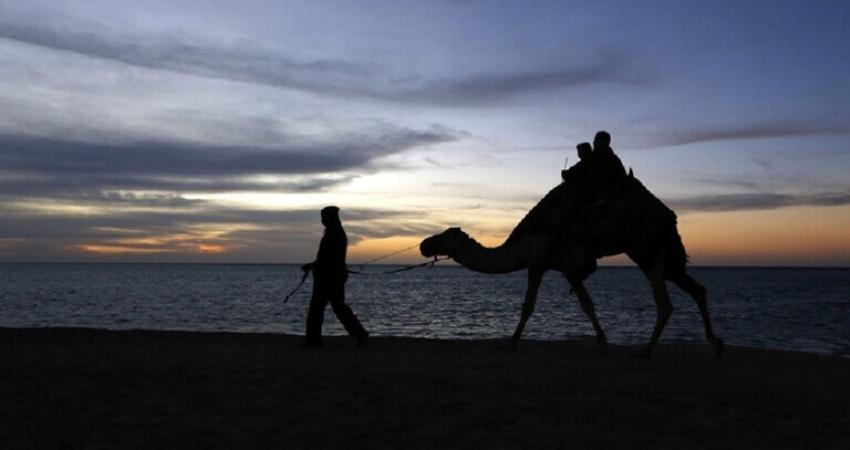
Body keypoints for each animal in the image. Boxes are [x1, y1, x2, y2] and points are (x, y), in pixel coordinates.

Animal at [420, 174, 724, 356]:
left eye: (445, 236)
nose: (424, 244)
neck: (521, 244)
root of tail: (668, 217)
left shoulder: (539, 262)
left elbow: (529, 306)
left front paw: (511, 341)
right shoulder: (569, 269)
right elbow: (587, 305)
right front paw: (602, 340)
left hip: (646, 250)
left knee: (665, 302)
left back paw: (646, 350)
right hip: (666, 257)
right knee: (697, 289)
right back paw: (715, 341)